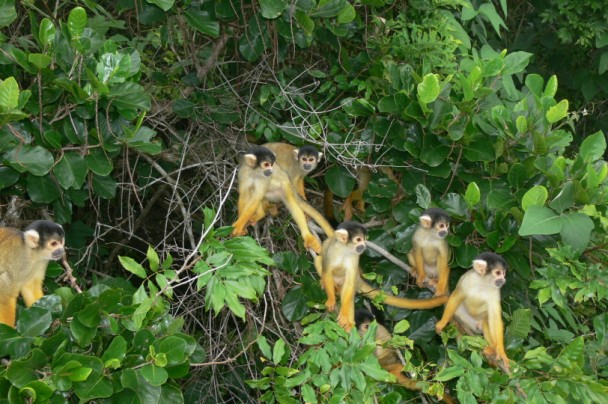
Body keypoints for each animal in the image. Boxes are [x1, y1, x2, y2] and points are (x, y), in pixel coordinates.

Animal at [315, 221, 448, 332]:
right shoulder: (331, 252)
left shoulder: (354, 257)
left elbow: (349, 284)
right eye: (358, 239)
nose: (363, 246)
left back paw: (349, 322)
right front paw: (331, 300)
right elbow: (327, 271)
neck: (344, 251)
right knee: (319, 259)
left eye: (364, 239)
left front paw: (344, 314)